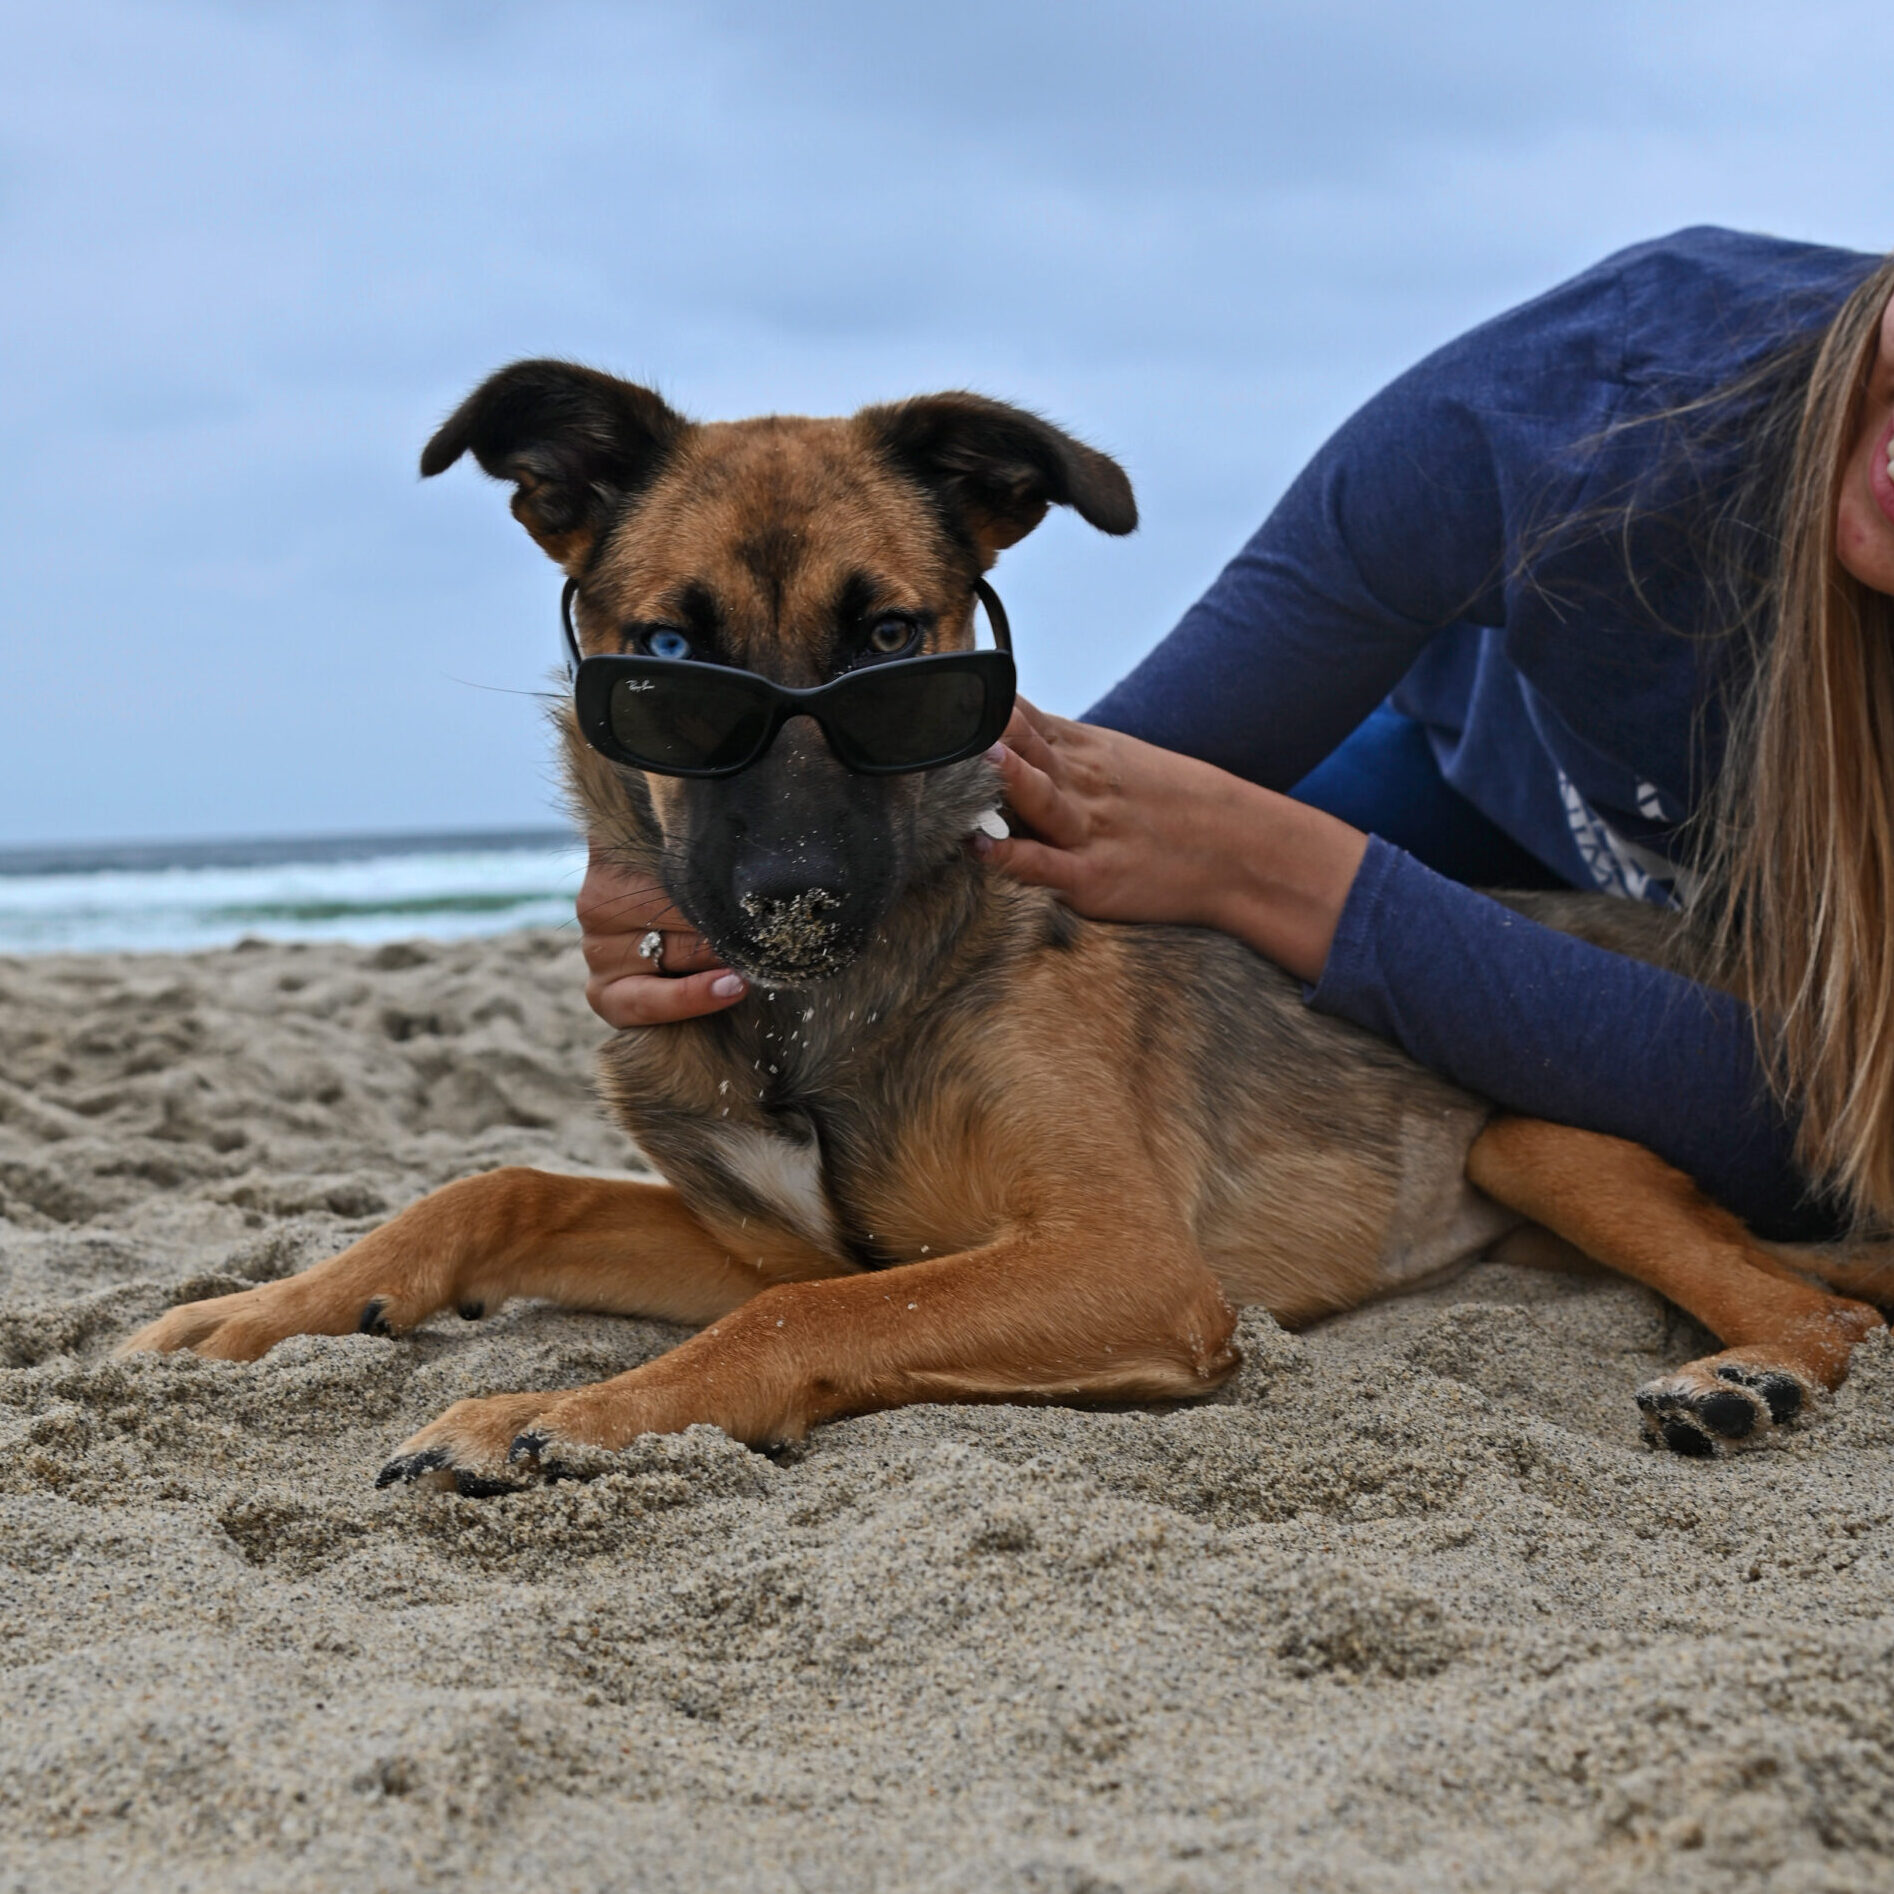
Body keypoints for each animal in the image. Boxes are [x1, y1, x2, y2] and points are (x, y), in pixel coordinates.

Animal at [125, 357, 1886, 1477]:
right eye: (670, 661)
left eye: (895, 642)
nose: (790, 899)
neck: (812, 1019)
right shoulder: (751, 1234)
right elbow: (499, 1188)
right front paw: (261, 1311)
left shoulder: (1123, 1260)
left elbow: (825, 1305)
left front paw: (566, 1415)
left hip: (1544, 1136)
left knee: (1812, 1300)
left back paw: (1742, 1377)